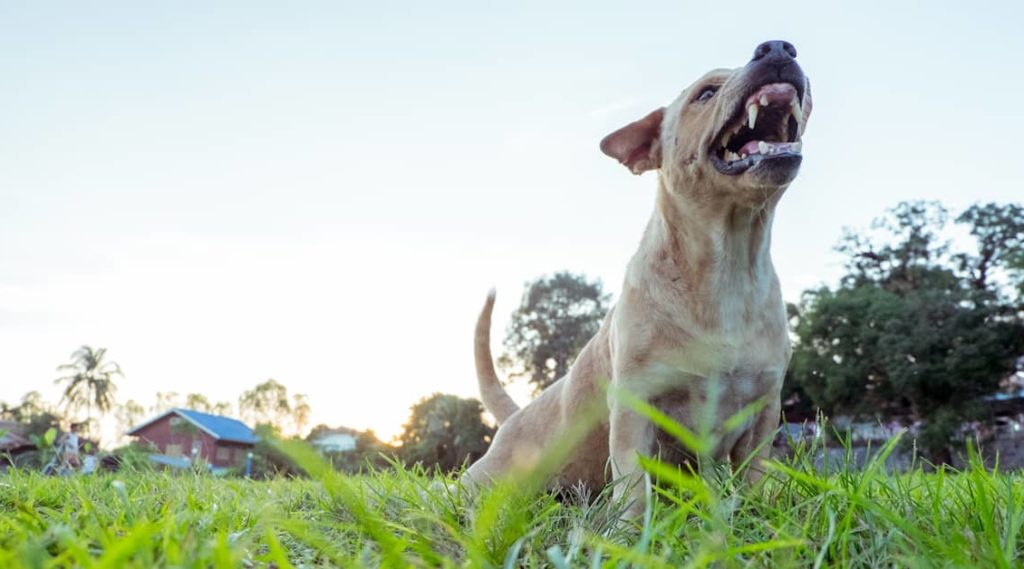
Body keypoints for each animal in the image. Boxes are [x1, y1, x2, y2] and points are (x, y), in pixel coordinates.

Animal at [464, 41, 806, 519]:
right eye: (705, 93)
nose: (776, 48)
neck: (729, 263)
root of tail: (515, 414)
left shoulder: (763, 410)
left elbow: (754, 475)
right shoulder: (635, 407)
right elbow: (633, 486)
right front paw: (630, 530)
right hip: (484, 482)